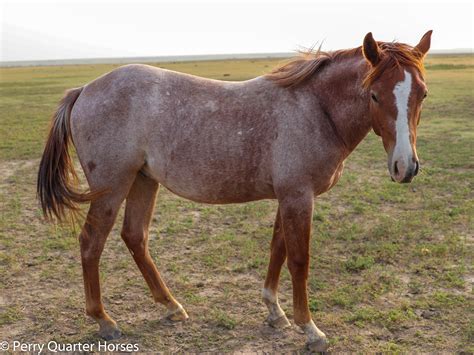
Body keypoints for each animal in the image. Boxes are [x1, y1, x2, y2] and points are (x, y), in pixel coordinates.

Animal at [36, 31, 430, 354]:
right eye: (374, 94)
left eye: (422, 94)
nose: (405, 167)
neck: (316, 109)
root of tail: (84, 90)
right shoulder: (298, 196)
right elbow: (299, 260)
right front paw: (310, 329)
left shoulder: (286, 197)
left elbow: (277, 249)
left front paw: (274, 311)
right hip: (112, 186)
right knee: (92, 243)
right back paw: (104, 320)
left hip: (143, 180)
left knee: (135, 237)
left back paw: (172, 306)